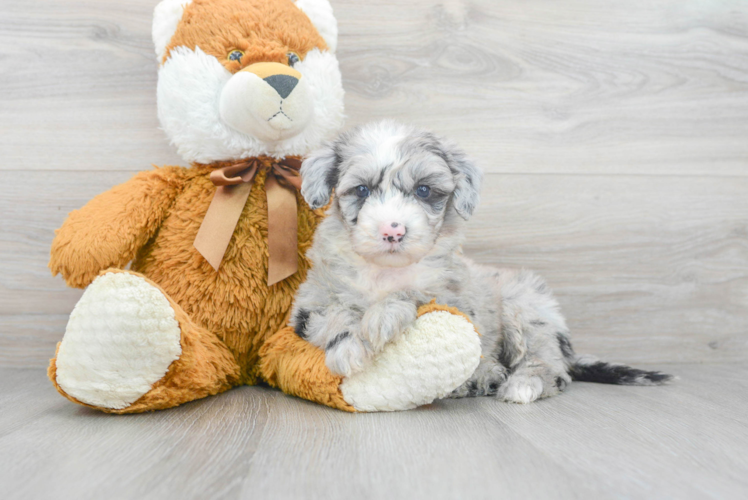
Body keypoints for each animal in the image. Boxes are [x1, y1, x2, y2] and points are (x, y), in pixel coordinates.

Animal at [292, 122, 672, 406]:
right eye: (362, 190)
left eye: (424, 191)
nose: (392, 231)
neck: (387, 270)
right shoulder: (308, 303)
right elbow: (333, 314)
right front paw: (348, 347)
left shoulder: (450, 296)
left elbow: (412, 293)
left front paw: (382, 317)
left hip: (527, 307)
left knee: (550, 365)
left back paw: (517, 384)